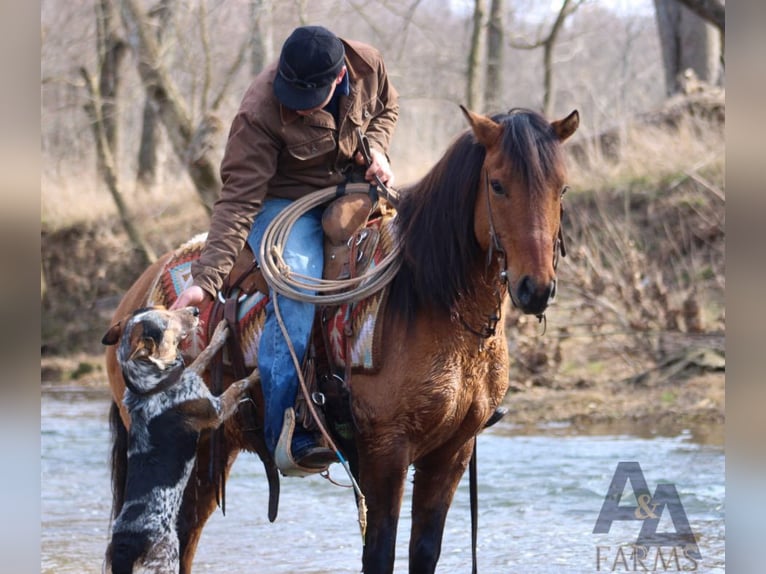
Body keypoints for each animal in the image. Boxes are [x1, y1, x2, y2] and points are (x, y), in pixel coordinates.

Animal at [105, 106, 580, 572]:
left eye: (562, 188)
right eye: (497, 184)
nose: (535, 288)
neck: (432, 301)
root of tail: (135, 295)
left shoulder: (452, 452)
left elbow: (425, 551)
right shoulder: (386, 451)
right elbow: (380, 553)